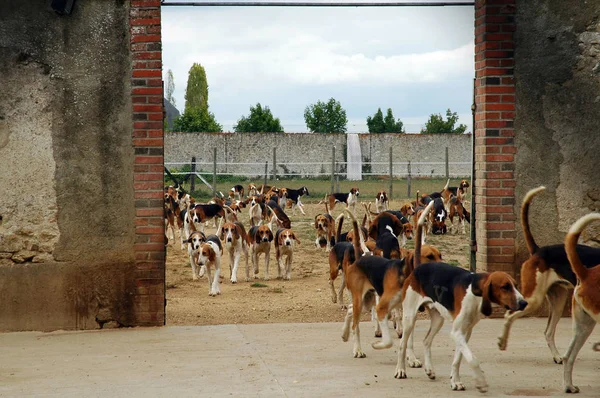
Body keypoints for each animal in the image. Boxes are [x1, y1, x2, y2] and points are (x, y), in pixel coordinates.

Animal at [494, 187, 600, 364]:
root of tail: (538, 251)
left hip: (558, 302)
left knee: (548, 332)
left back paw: (557, 356)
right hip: (534, 300)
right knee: (509, 315)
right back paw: (502, 342)